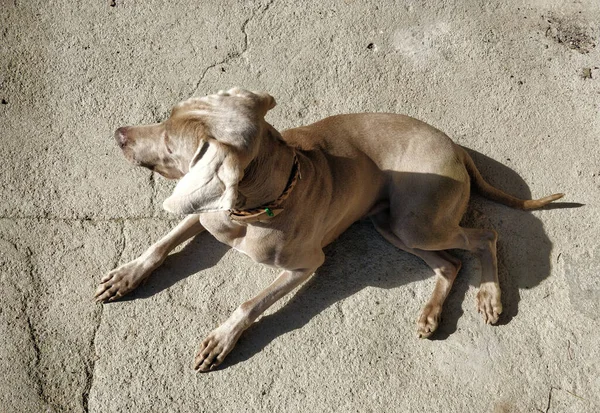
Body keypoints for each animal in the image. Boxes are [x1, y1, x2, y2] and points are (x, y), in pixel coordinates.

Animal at [97, 87, 564, 370]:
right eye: (167, 116)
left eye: (169, 141)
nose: (118, 133)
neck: (256, 207)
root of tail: (454, 145)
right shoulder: (203, 211)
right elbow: (161, 244)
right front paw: (127, 275)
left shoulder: (306, 265)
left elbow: (250, 303)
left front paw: (222, 338)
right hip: (390, 224)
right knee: (449, 264)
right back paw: (431, 315)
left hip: (416, 223)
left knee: (484, 237)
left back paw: (490, 296)